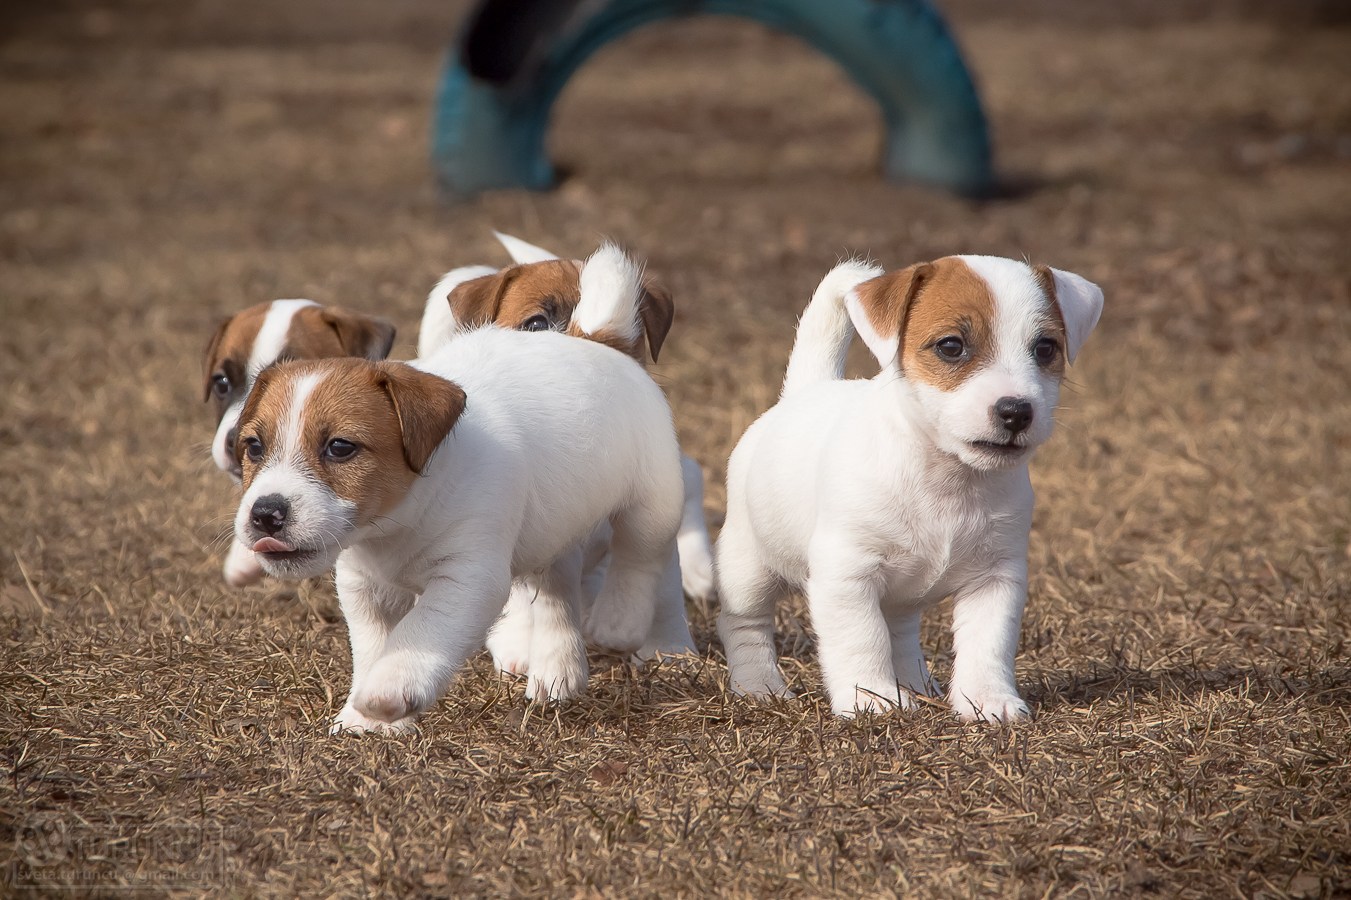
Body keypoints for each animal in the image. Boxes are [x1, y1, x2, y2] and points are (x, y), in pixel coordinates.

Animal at [713, 255, 1102, 718]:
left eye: (1045, 349)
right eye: (951, 346)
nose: (1016, 411)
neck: (946, 477)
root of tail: (806, 390)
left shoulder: (997, 578)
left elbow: (988, 645)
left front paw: (988, 699)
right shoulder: (848, 573)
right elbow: (861, 639)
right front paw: (871, 699)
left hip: (901, 594)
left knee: (899, 632)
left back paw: (917, 683)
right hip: (747, 566)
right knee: (745, 624)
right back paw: (758, 686)